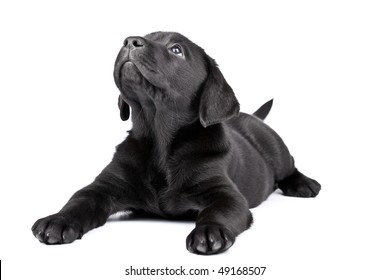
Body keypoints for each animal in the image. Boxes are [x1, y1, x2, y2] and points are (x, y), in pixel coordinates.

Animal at [32, 31, 320, 255]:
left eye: (176, 50)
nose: (130, 41)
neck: (158, 139)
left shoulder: (226, 194)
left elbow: (218, 211)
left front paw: (210, 231)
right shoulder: (104, 186)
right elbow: (79, 200)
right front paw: (58, 220)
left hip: (276, 147)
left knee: (289, 166)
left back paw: (304, 184)